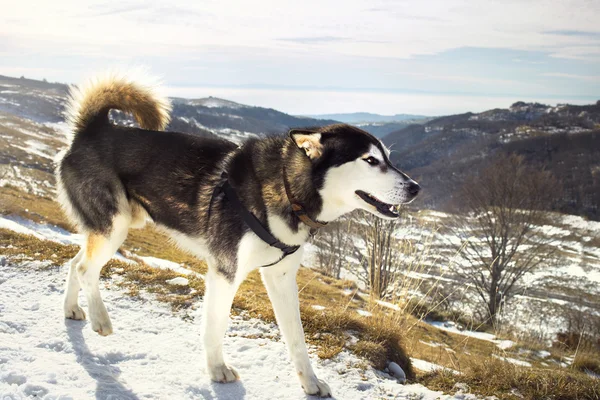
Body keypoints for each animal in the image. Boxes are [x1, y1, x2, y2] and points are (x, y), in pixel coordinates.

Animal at [57, 74, 422, 396]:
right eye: (371, 160)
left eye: (388, 158)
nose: (415, 188)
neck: (287, 189)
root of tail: (93, 129)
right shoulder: (225, 272)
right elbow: (216, 325)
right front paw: (217, 369)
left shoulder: (281, 277)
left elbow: (297, 339)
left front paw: (310, 383)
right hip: (114, 226)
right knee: (86, 268)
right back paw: (100, 319)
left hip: (113, 228)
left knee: (74, 262)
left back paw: (72, 309)